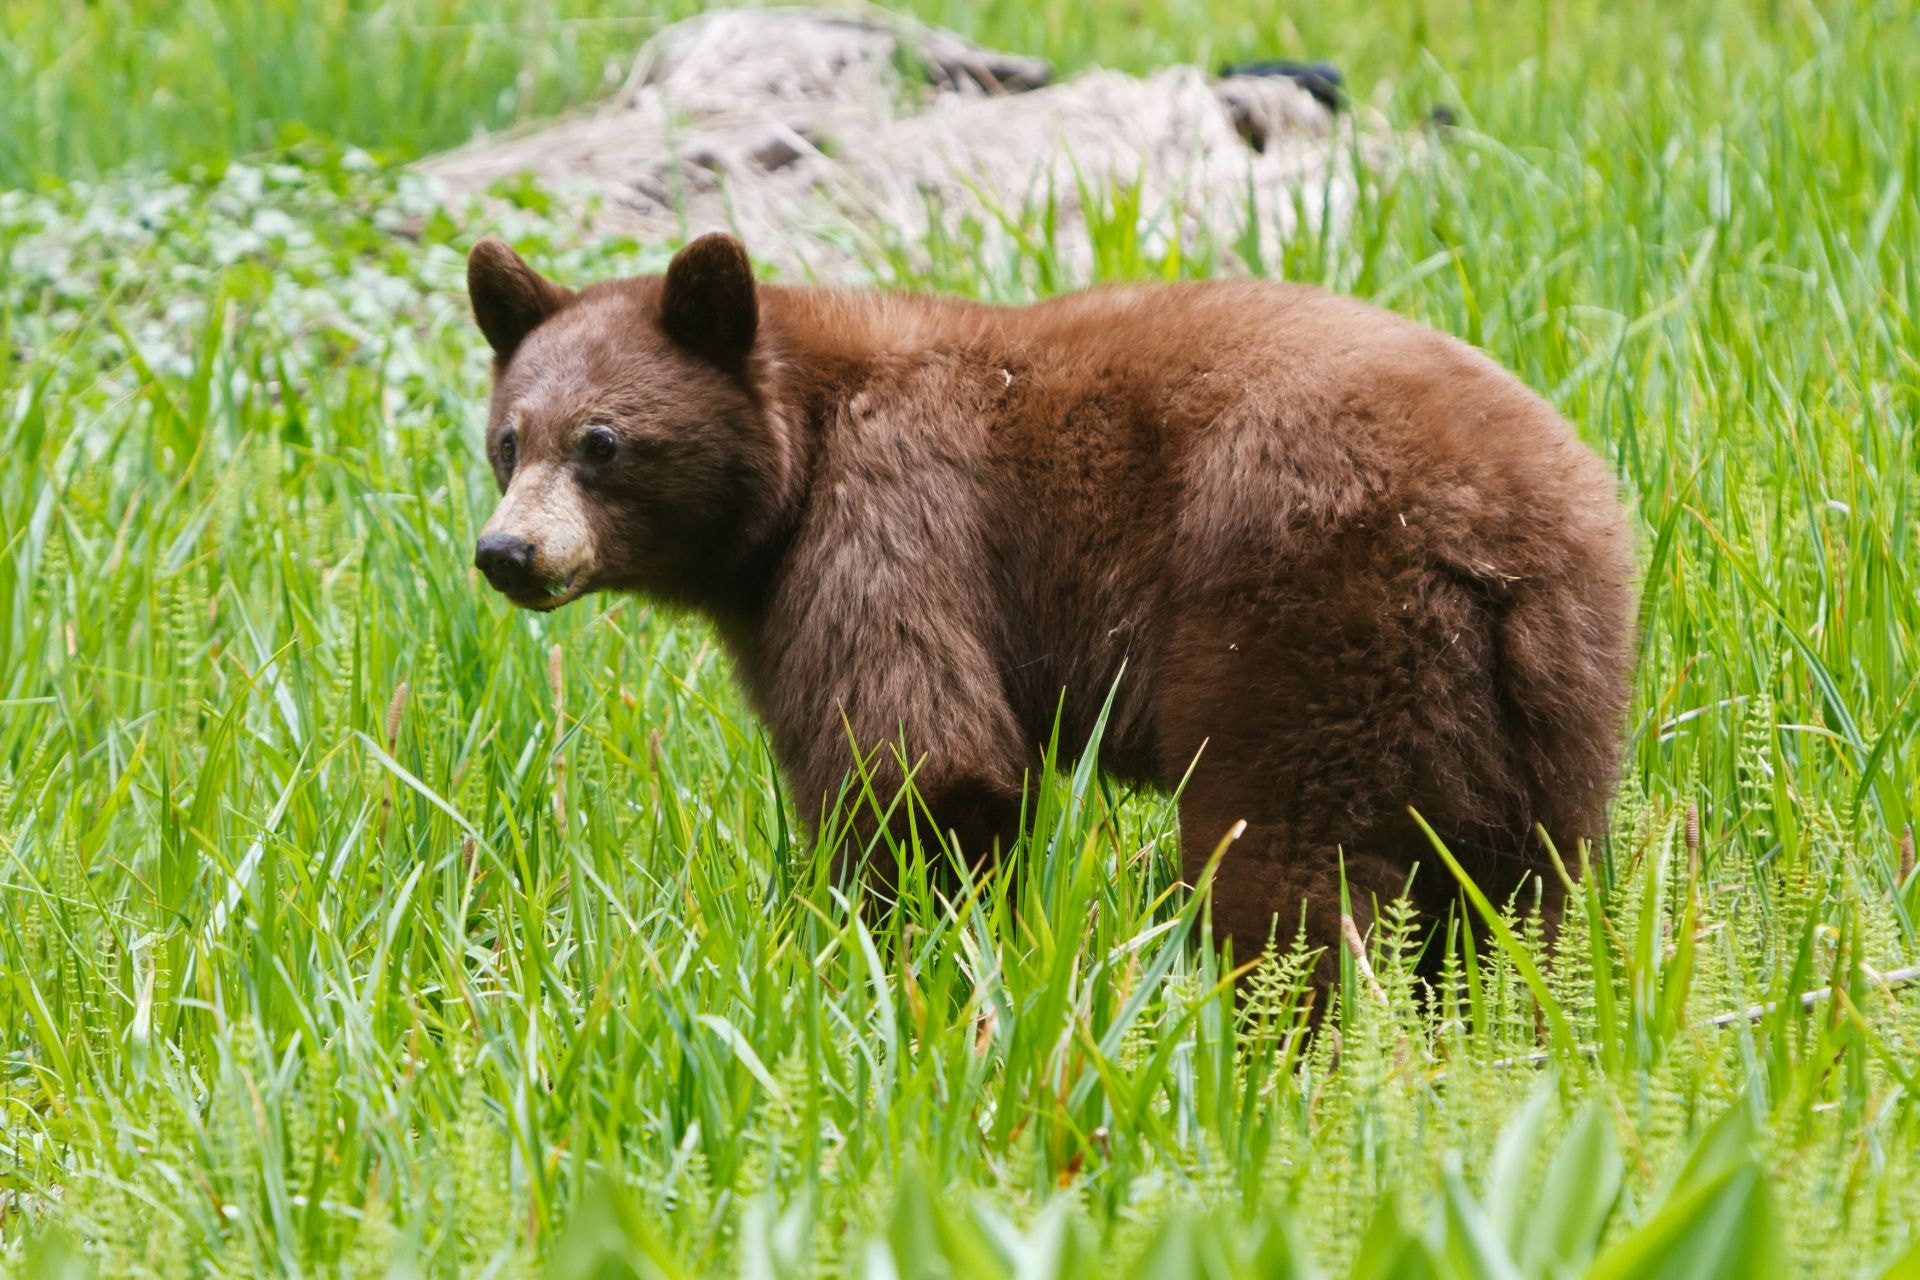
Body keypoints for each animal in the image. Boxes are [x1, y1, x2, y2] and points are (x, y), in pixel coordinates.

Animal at [464, 233, 1635, 982]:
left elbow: (920, 760)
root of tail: (1501, 534)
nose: (506, 552)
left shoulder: (895, 521)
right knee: (1516, 888)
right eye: (508, 440)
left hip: (1313, 618)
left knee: (1296, 857)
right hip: (1545, 702)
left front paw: (893, 961)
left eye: (603, 442)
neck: (801, 448)